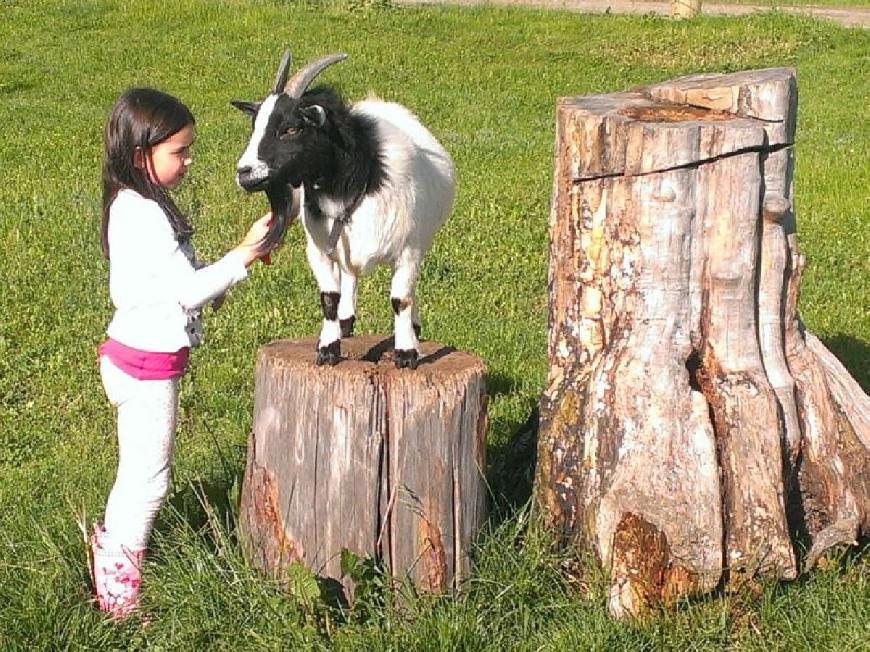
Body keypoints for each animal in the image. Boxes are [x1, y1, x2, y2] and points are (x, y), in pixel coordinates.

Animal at [235, 50, 460, 366]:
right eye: (254, 127)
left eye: (291, 128)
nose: (244, 173)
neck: (353, 185)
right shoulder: (318, 250)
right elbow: (329, 297)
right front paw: (328, 347)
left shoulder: (408, 250)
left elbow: (400, 299)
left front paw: (406, 352)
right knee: (349, 275)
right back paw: (346, 321)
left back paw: (414, 329)